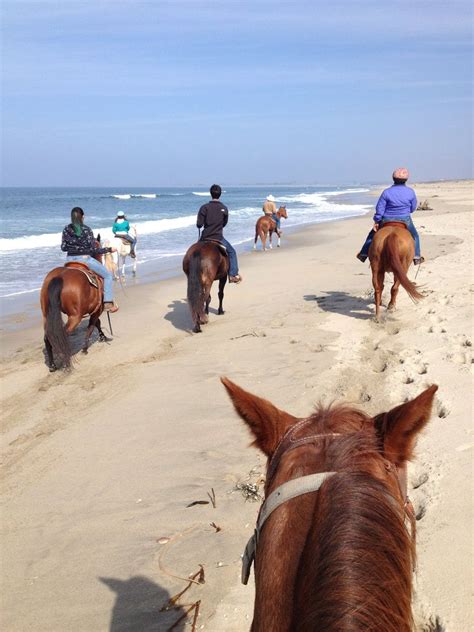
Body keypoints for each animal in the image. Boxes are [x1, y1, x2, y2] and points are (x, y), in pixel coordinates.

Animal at [40, 241, 110, 370]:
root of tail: (59, 277)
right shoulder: (98, 309)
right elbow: (92, 326)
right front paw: (86, 348)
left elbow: (96, 323)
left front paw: (102, 337)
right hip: (75, 317)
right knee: (60, 335)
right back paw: (65, 361)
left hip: (47, 315)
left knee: (48, 337)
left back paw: (52, 365)